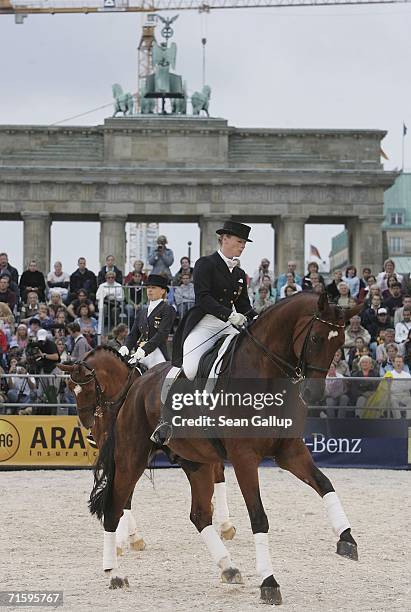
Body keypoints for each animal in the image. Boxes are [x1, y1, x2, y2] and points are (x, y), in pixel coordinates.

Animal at [69, 294, 366, 604]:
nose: (313, 394)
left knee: (199, 515)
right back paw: (114, 572)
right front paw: (269, 581)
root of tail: (137, 387)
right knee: (115, 506)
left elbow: (324, 483)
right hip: (131, 458)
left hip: (194, 461)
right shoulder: (245, 458)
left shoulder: (289, 451)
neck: (265, 374)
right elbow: (259, 517)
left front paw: (346, 538)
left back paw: (228, 567)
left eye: (339, 343)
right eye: (317, 338)